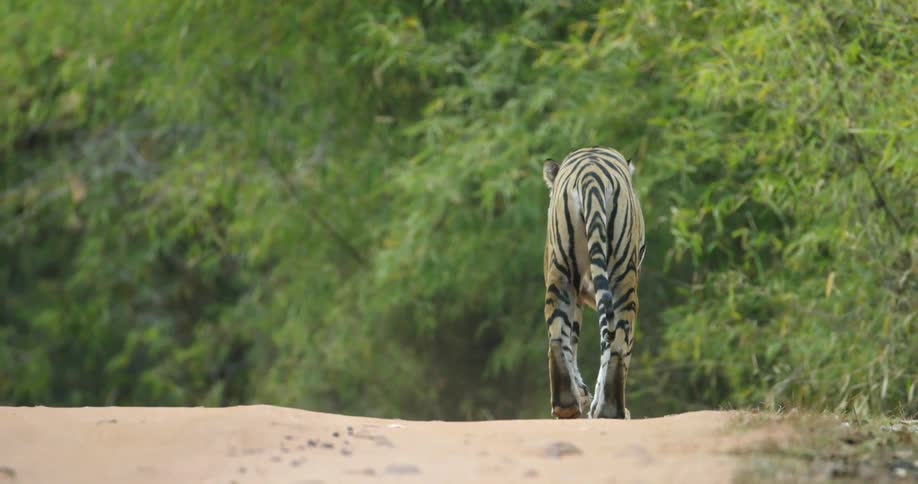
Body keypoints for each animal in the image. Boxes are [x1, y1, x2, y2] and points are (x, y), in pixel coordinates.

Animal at [542, 146, 645, 419]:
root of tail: (590, 175)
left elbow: (574, 341)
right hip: (623, 277)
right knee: (619, 342)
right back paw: (611, 410)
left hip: (561, 273)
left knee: (558, 335)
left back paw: (567, 405)